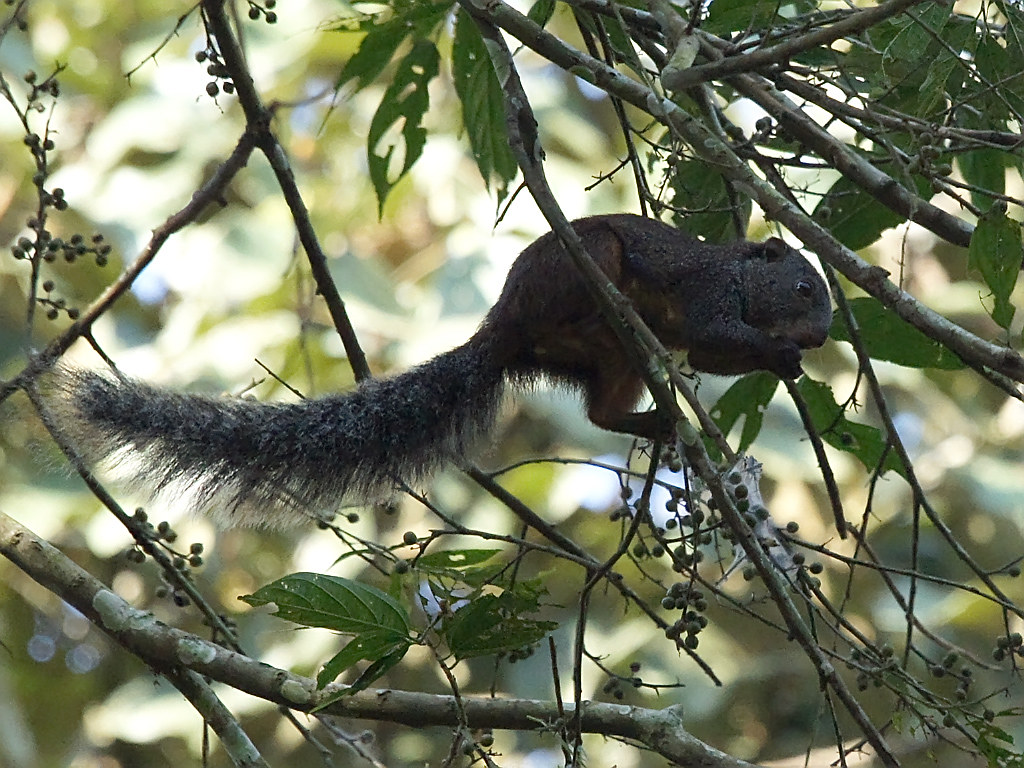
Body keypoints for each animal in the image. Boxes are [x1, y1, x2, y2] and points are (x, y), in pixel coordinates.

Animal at [51, 214, 832, 528]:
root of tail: (504, 326)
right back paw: (611, 309)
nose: (824, 335)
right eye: (803, 288)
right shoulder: (706, 296)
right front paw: (781, 355)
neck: (740, 275)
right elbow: (708, 342)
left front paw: (786, 361)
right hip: (578, 268)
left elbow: (709, 357)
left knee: (602, 411)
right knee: (601, 292)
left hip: (607, 362)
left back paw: (658, 419)